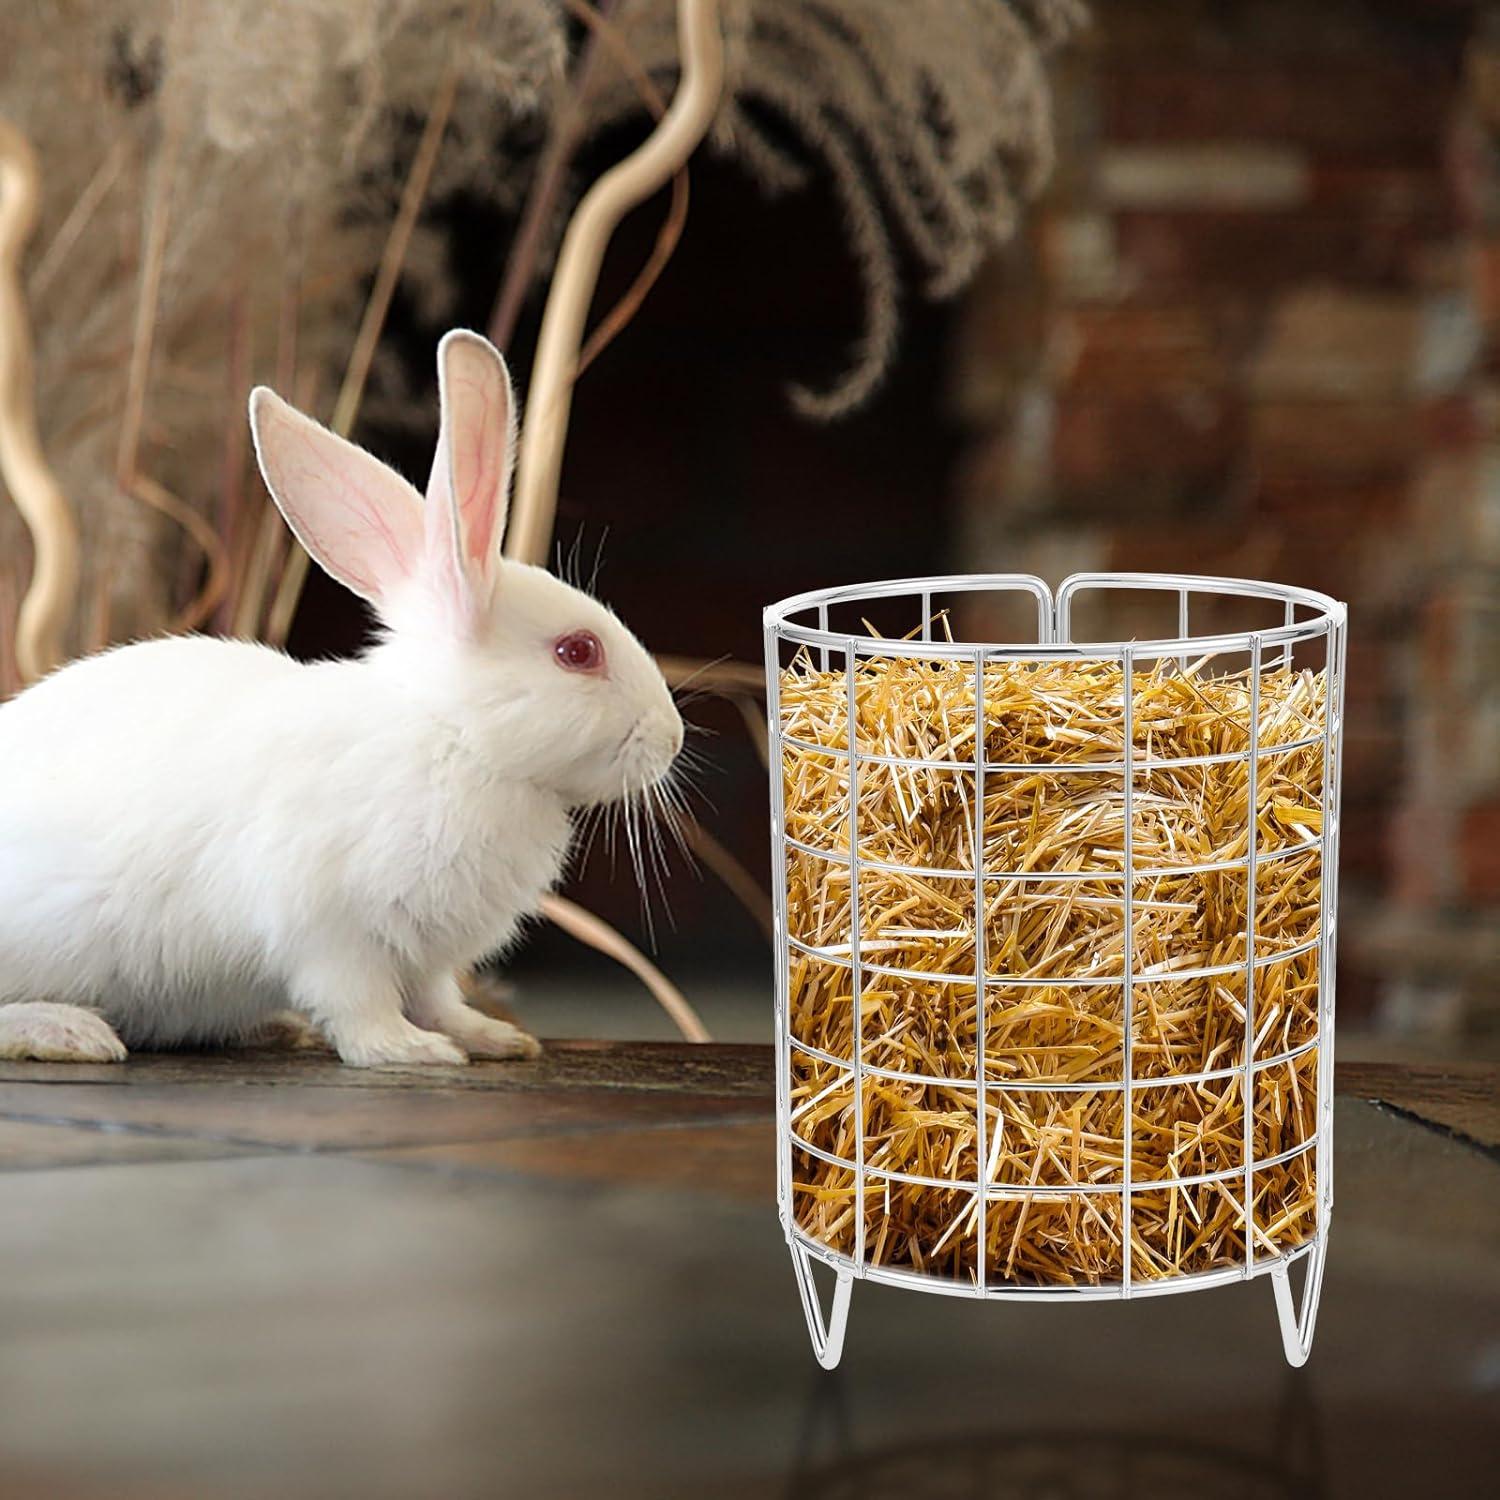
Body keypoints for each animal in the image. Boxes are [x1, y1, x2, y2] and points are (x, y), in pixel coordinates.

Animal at [0, 330, 684, 1067]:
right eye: (578, 652)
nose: (672, 737)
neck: (453, 740)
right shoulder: (332, 932)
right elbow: (359, 1004)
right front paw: (410, 1052)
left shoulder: (427, 958)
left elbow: (440, 999)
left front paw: (495, 1039)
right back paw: (70, 1032)